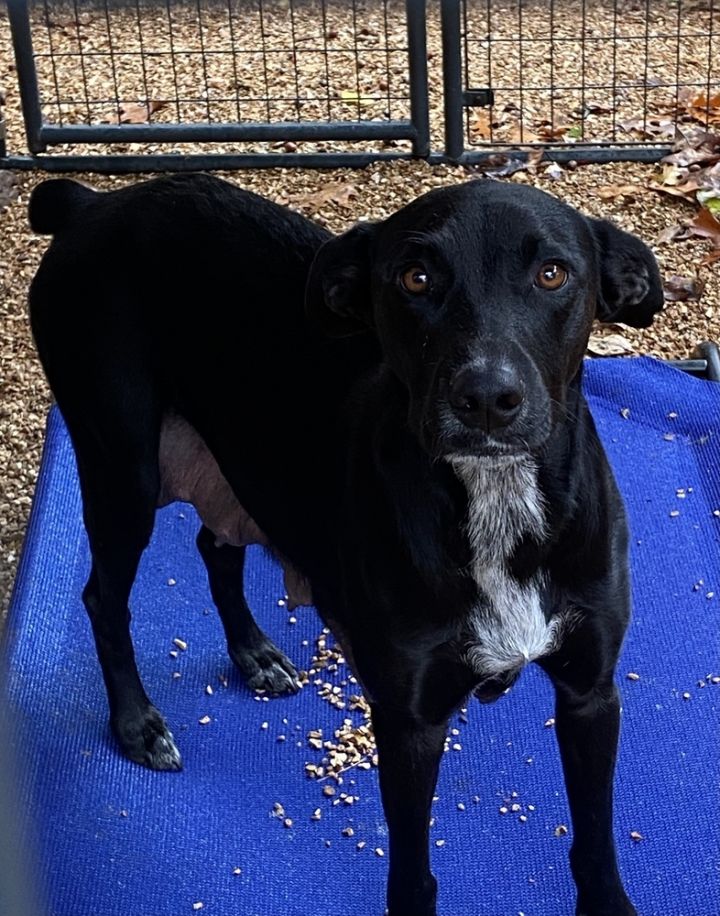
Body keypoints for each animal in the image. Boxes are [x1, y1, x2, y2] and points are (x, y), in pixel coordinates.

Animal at [28, 174, 660, 916]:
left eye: (552, 273)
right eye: (416, 278)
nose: (485, 398)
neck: (497, 502)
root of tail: (96, 201)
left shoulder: (591, 693)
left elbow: (595, 838)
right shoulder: (409, 722)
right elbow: (412, 871)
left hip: (241, 467)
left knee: (216, 548)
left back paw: (253, 653)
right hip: (123, 469)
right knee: (105, 599)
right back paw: (136, 723)